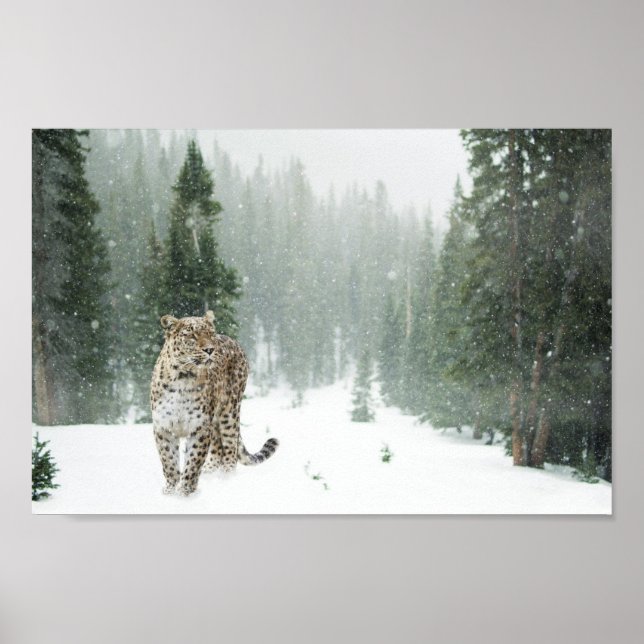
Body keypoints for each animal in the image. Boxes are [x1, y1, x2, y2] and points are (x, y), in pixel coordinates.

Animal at [150, 310, 278, 496]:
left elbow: (193, 462)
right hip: (216, 420)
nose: (210, 349)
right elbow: (169, 461)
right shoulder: (164, 427)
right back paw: (210, 472)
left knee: (230, 448)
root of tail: (233, 341)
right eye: (191, 335)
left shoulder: (200, 426)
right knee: (218, 448)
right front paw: (170, 491)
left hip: (229, 412)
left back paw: (227, 479)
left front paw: (185, 492)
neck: (183, 378)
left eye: (210, 334)